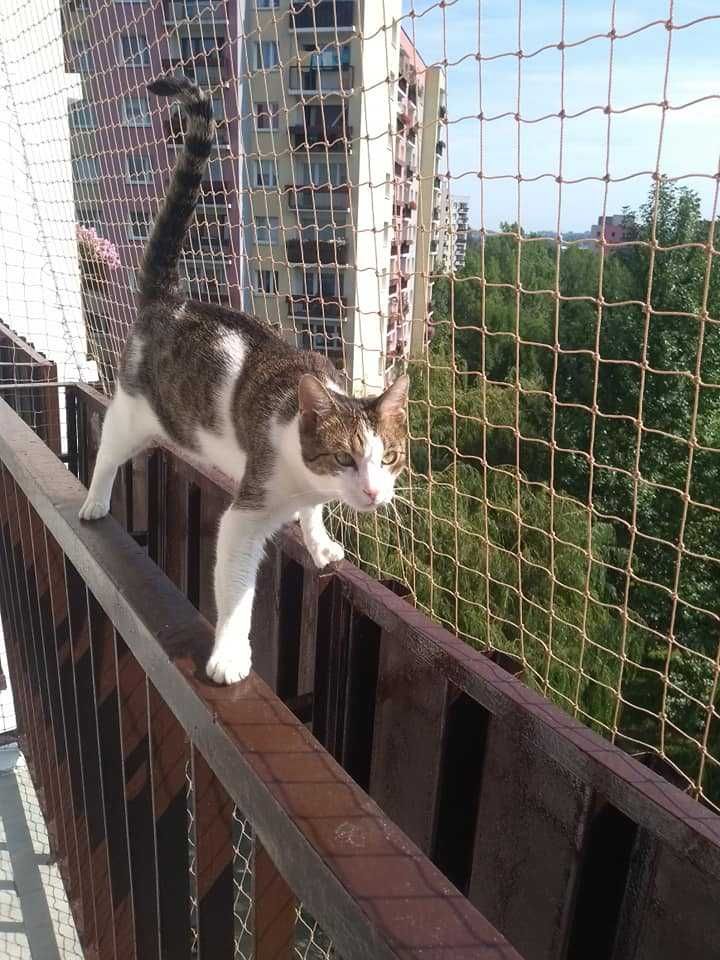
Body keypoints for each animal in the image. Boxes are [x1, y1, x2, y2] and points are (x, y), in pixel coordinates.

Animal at [77, 79, 410, 688]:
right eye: (345, 458)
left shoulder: (309, 494)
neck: (304, 473)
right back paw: (94, 499)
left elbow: (312, 515)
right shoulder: (246, 514)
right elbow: (236, 592)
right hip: (129, 414)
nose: (375, 494)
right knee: (108, 453)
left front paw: (319, 542)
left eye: (389, 457)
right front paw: (230, 654)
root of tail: (169, 300)